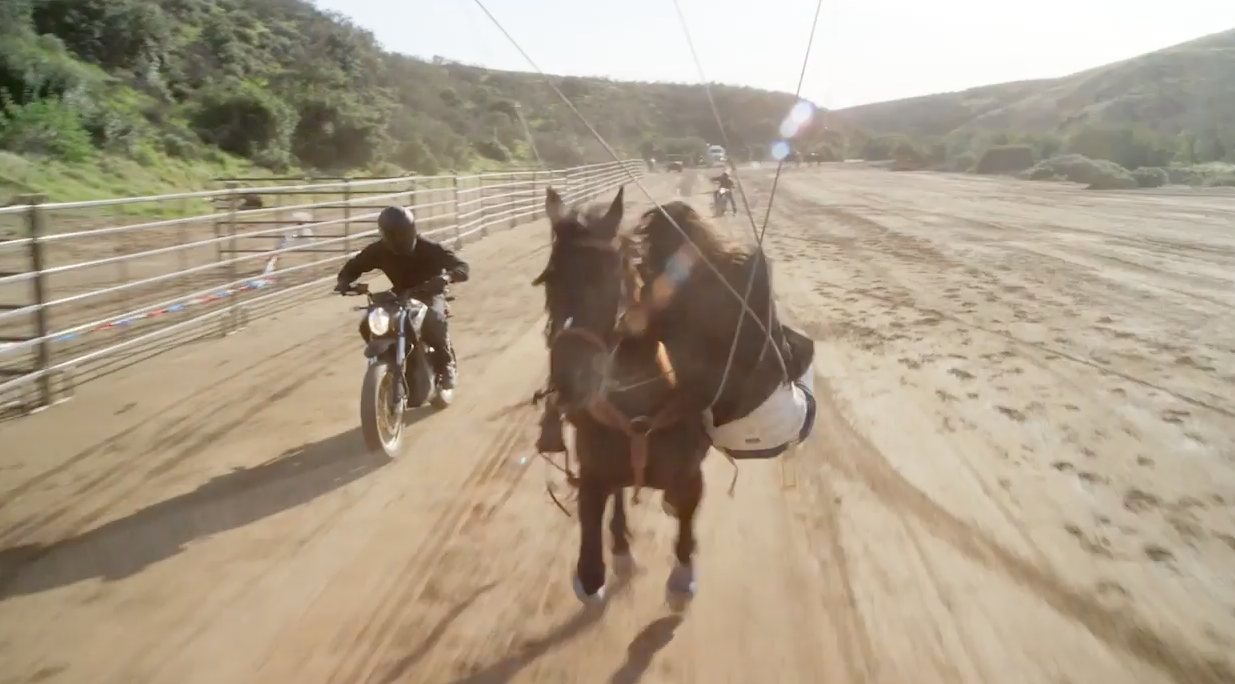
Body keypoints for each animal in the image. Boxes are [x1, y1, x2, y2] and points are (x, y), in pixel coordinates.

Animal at [532, 186, 711, 605]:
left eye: (609, 275)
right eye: (549, 279)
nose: (569, 379)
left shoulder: (691, 474)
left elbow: (686, 513)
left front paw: (682, 574)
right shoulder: (593, 473)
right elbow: (590, 559)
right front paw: (604, 562)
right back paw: (622, 549)